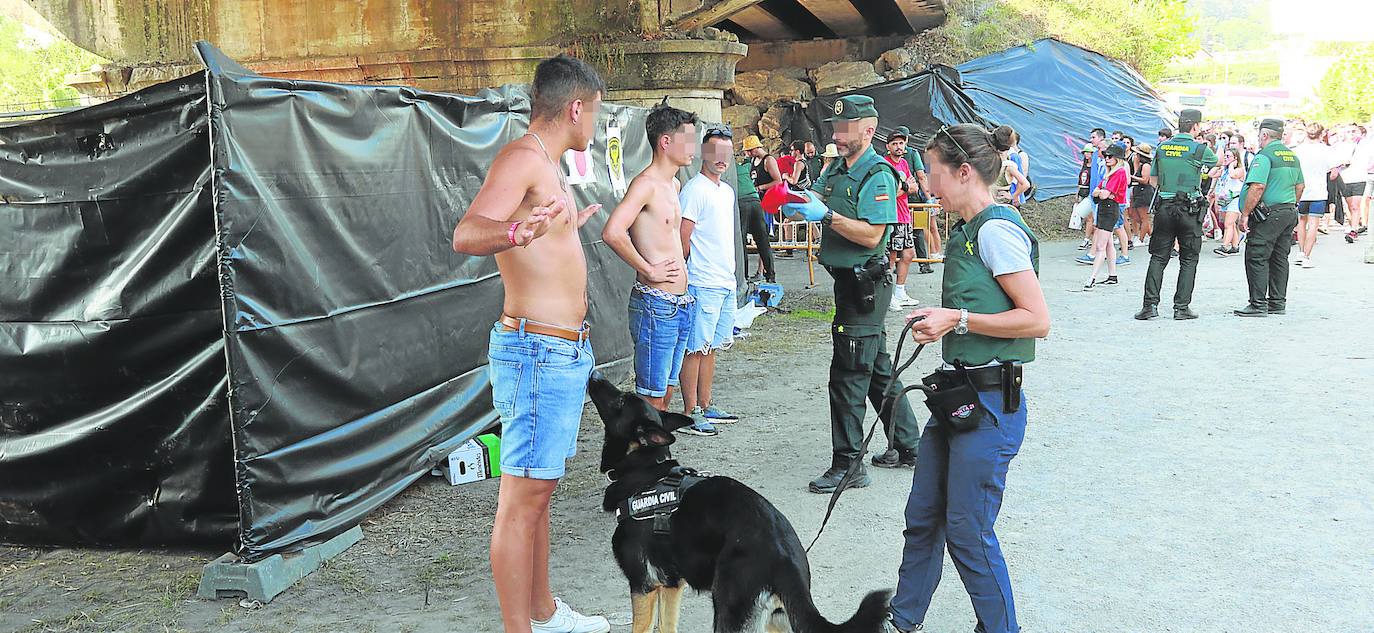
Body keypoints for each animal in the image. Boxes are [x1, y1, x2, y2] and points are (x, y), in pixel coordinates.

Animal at [582, 373, 884, 628]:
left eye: (621, 399)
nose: (594, 374)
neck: (645, 469)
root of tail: (786, 556)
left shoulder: (642, 586)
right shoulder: (671, 586)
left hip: (729, 611)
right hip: (777, 619)